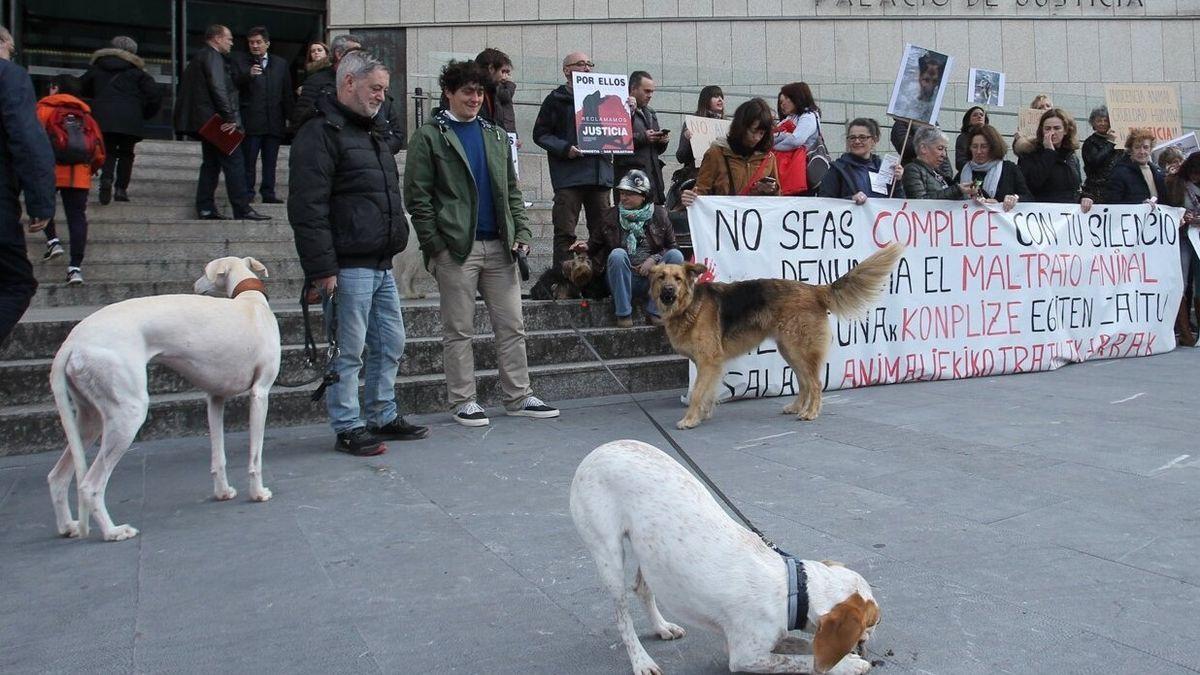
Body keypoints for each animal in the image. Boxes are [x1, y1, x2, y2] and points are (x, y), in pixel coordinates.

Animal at [47, 254, 280, 538]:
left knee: (57, 476)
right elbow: (255, 455)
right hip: (127, 414)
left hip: (89, 419)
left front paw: (223, 492)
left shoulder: (215, 399)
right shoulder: (260, 393)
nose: (194, 285)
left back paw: (68, 526)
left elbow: (219, 456)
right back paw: (114, 531)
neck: (249, 301)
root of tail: (71, 342)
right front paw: (258, 493)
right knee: (90, 485)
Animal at [571, 439, 883, 667]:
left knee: (643, 589)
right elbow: (803, 662)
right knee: (622, 617)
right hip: (608, 555)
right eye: (872, 621)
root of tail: (600, 449)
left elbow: (805, 647)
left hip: (650, 552)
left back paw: (662, 627)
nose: (874, 633)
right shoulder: (746, 655)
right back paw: (642, 662)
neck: (793, 590)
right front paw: (849, 666)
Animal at [657, 243, 902, 427]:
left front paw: (689, 420)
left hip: (799, 350)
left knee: (815, 383)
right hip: (790, 350)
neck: (690, 305)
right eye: (661, 277)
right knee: (804, 382)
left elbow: (698, 392)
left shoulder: (708, 361)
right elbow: (707, 391)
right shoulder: (708, 364)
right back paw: (796, 408)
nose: (668, 292)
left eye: (678, 279)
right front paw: (703, 415)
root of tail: (815, 290)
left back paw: (811, 413)